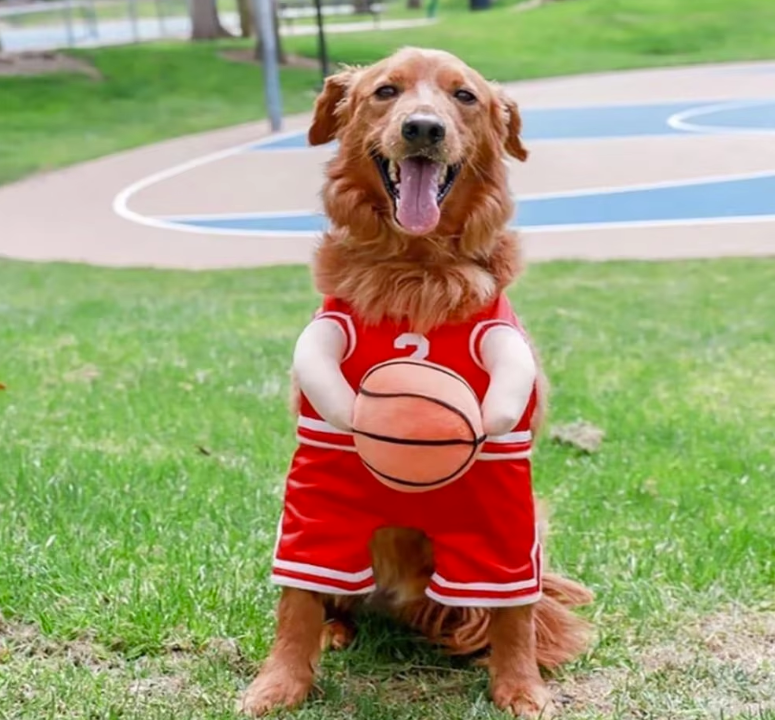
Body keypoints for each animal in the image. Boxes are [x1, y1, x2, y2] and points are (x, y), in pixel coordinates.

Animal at [241, 47, 596, 716]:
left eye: (465, 96)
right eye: (386, 91)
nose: (423, 128)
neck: (416, 269)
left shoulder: (504, 489)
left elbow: (514, 611)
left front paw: (520, 687)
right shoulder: (317, 476)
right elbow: (296, 597)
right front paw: (279, 683)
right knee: (332, 598)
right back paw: (335, 630)